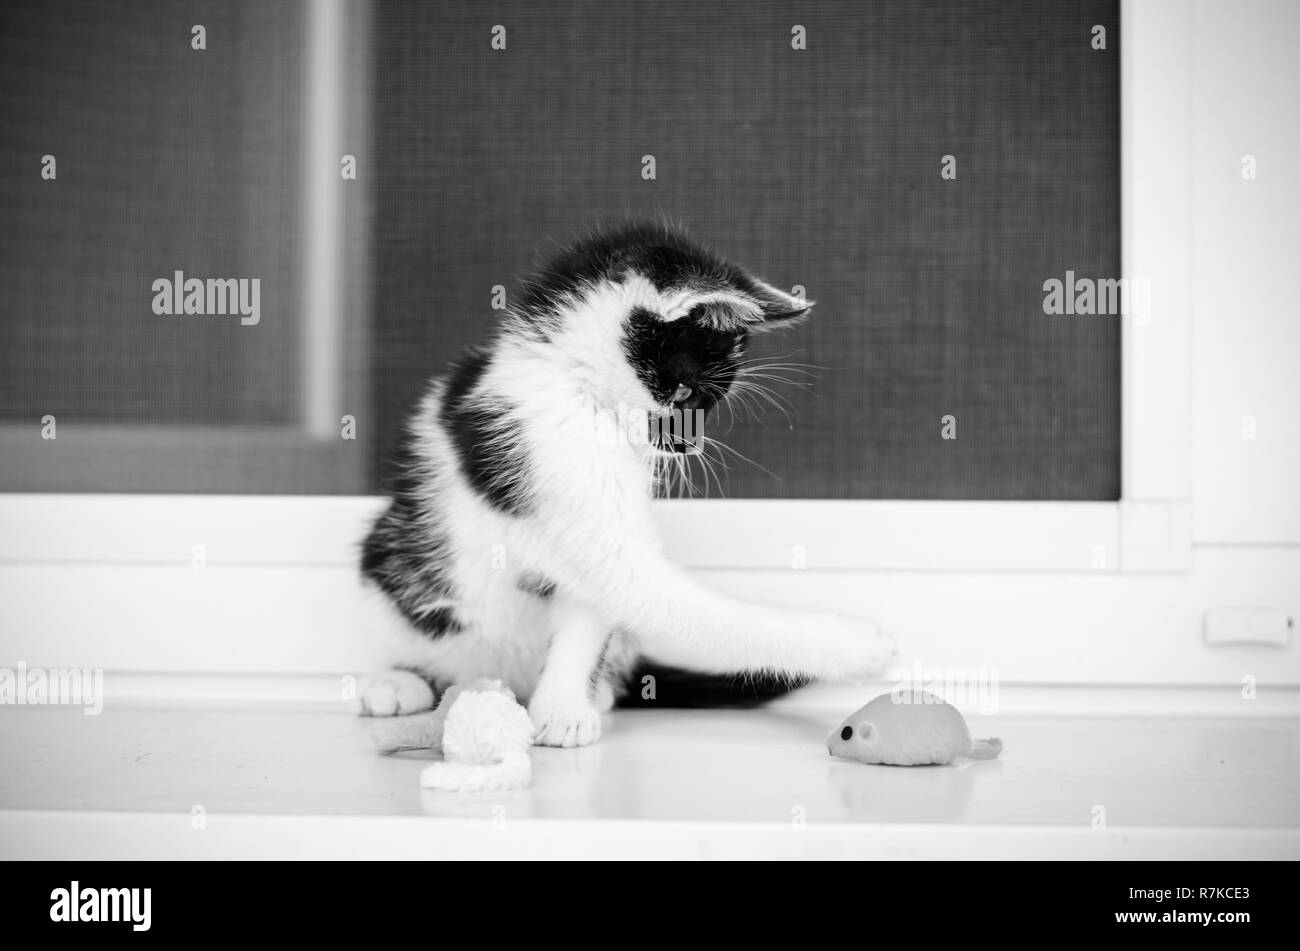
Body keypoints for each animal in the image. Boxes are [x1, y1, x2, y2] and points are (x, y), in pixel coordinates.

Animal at [356, 219, 894, 748]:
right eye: (685, 392)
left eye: (711, 403)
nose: (690, 446)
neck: (573, 385)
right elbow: (649, 588)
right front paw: (857, 645)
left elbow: (591, 606)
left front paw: (562, 709)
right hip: (393, 559)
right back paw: (398, 680)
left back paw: (595, 694)